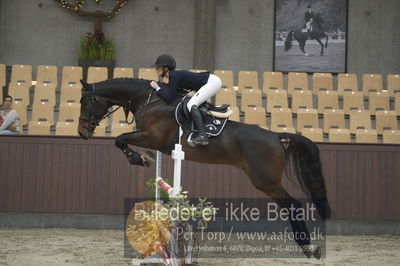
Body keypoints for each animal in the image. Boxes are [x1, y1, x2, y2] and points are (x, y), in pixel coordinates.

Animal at [77, 77, 332, 260]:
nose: (81, 133)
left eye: (85, 102)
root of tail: (275, 135)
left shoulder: (152, 137)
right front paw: (143, 158)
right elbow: (121, 140)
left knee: (293, 205)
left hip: (266, 181)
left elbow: (119, 139)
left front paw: (138, 159)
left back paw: (309, 247)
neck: (150, 101)